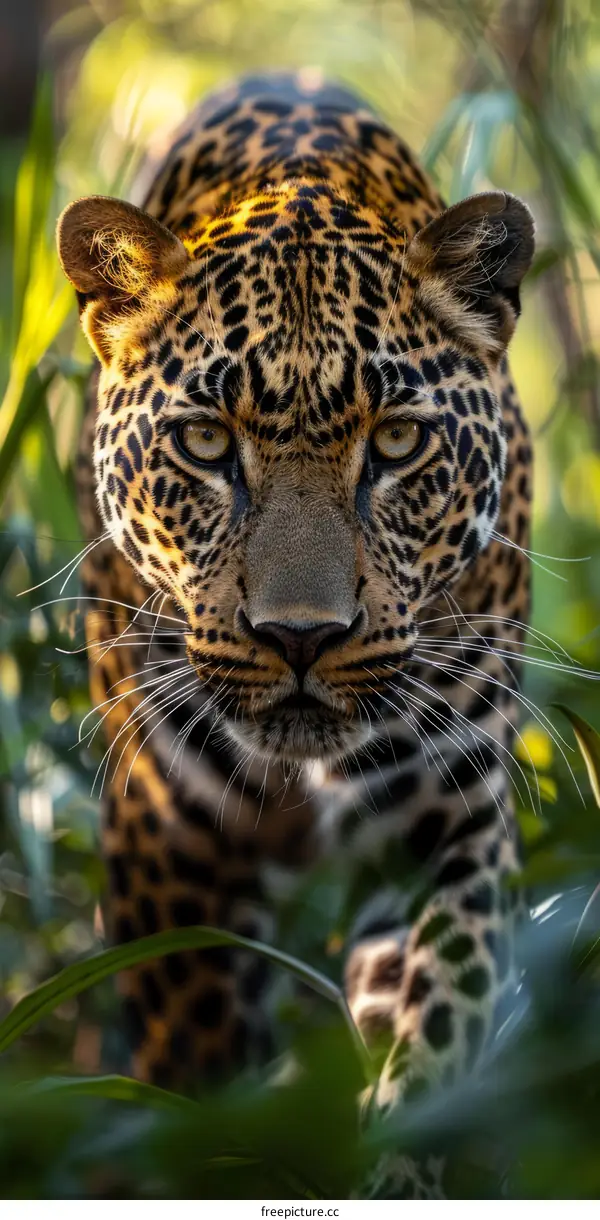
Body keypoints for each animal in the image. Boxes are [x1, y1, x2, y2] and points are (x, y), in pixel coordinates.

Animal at [56, 71, 534, 1197]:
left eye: (397, 441)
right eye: (203, 441)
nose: (301, 637)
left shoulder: (447, 819)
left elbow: (439, 1015)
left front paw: (395, 1161)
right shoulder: (166, 847)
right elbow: (197, 1089)